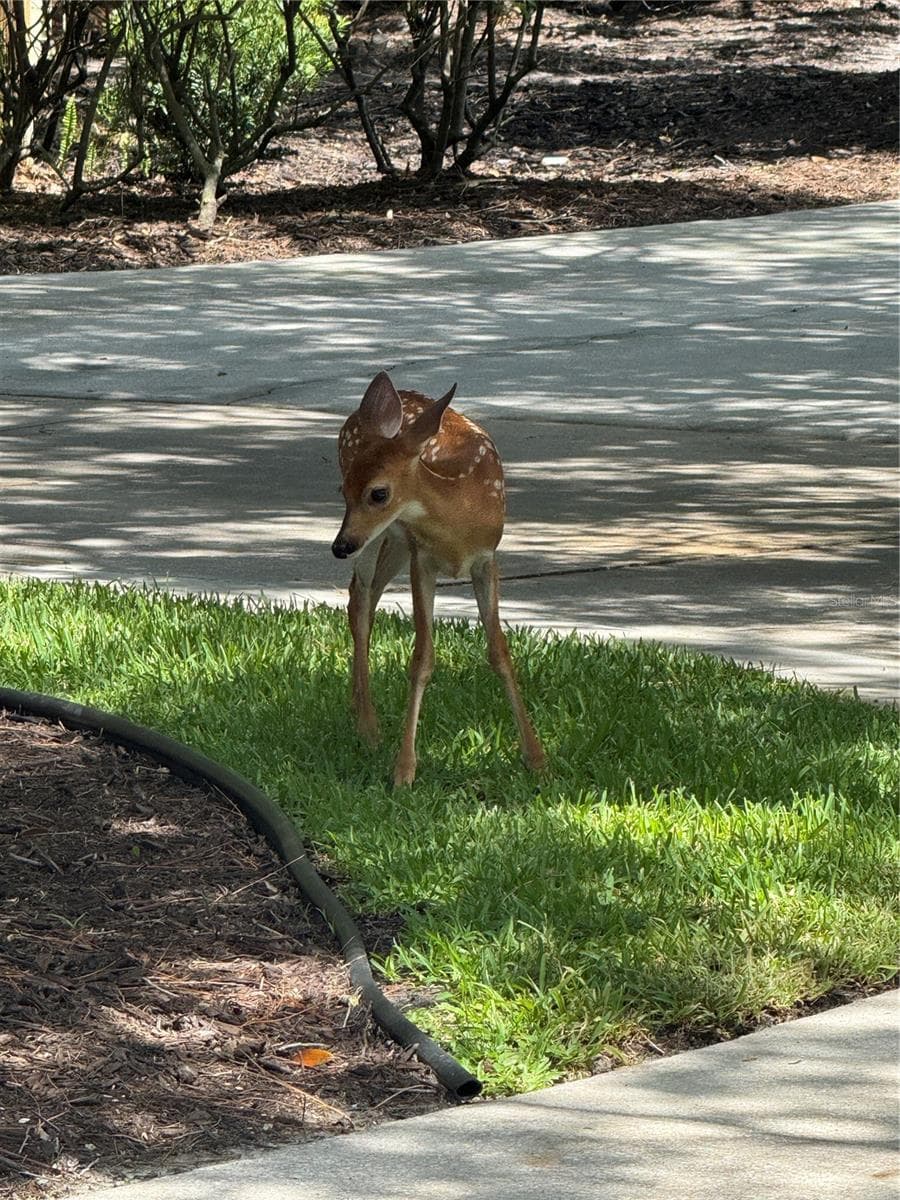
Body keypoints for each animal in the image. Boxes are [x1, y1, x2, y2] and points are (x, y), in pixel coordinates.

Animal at [331, 371, 546, 787]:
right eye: (343, 490)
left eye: (378, 493)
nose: (338, 546)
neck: (459, 521)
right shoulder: (423, 560)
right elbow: (422, 658)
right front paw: (404, 770)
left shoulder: (487, 560)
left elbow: (499, 651)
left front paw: (536, 757)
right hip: (380, 539)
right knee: (359, 596)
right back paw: (369, 727)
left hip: (393, 540)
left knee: (365, 592)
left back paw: (356, 706)